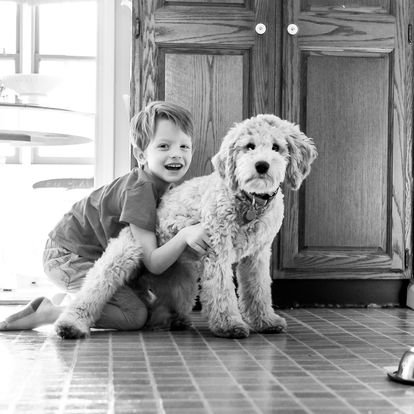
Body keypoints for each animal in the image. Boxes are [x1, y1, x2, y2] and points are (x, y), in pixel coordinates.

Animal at [55, 114, 317, 339]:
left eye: (276, 147)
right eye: (249, 146)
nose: (262, 166)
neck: (249, 201)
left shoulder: (257, 255)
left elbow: (258, 290)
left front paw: (266, 321)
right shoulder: (217, 250)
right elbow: (222, 289)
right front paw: (229, 324)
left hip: (182, 279)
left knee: (158, 308)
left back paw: (171, 320)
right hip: (123, 255)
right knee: (93, 290)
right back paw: (70, 324)